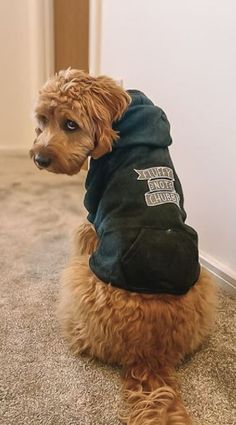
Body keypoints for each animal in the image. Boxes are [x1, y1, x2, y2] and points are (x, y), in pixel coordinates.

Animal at [29, 68, 218, 422]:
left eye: (71, 124)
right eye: (43, 120)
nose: (39, 158)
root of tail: (150, 353)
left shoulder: (91, 213)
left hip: (80, 278)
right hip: (203, 283)